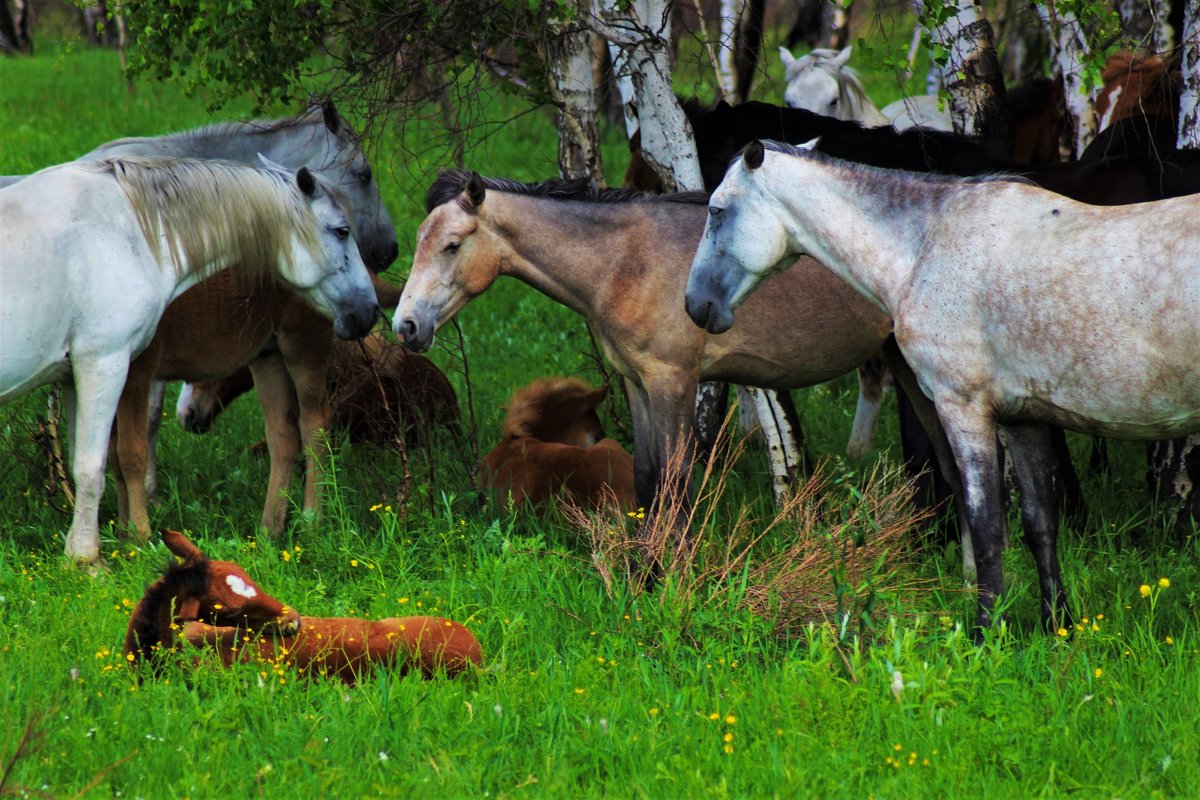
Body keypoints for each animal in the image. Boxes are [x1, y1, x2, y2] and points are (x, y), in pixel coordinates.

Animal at [0, 155, 376, 566]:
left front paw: (108, 546)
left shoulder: (90, 373)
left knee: (305, 430)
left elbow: (102, 459)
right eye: (342, 231)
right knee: (291, 434)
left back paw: (297, 524)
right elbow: (101, 462)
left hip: (287, 353)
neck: (126, 228)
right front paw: (98, 553)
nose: (368, 310)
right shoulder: (105, 364)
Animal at [686, 139, 1200, 633]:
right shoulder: (1026, 419)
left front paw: (985, 634)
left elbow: (987, 526)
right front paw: (1059, 626)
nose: (695, 305)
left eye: (716, 210)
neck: (925, 246)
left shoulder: (963, 408)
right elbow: (1040, 525)